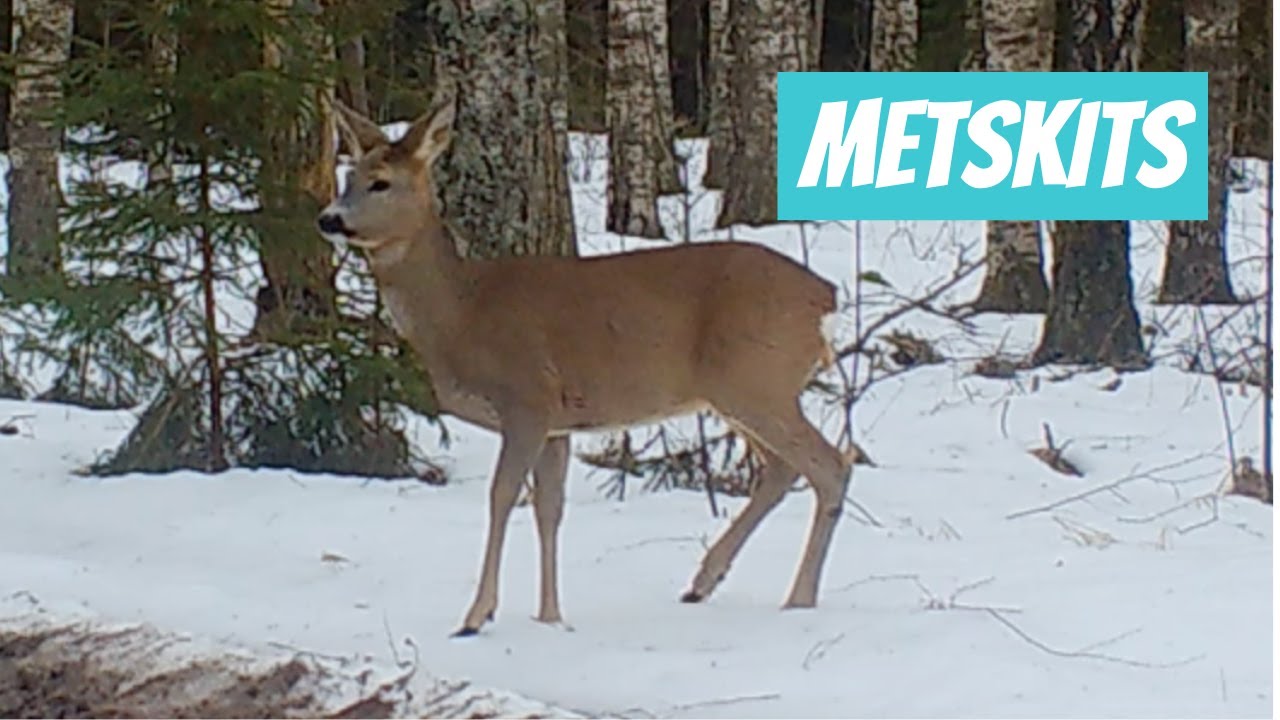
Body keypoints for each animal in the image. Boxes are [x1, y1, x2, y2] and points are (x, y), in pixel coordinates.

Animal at [315, 96, 855, 637]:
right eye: (347, 175)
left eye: (381, 182)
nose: (328, 219)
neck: (462, 313)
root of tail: (825, 298)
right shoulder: (559, 422)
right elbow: (549, 509)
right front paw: (550, 616)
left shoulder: (528, 398)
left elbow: (502, 496)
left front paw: (476, 615)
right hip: (741, 391)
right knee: (783, 468)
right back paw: (702, 583)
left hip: (756, 381)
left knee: (829, 465)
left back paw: (798, 600)